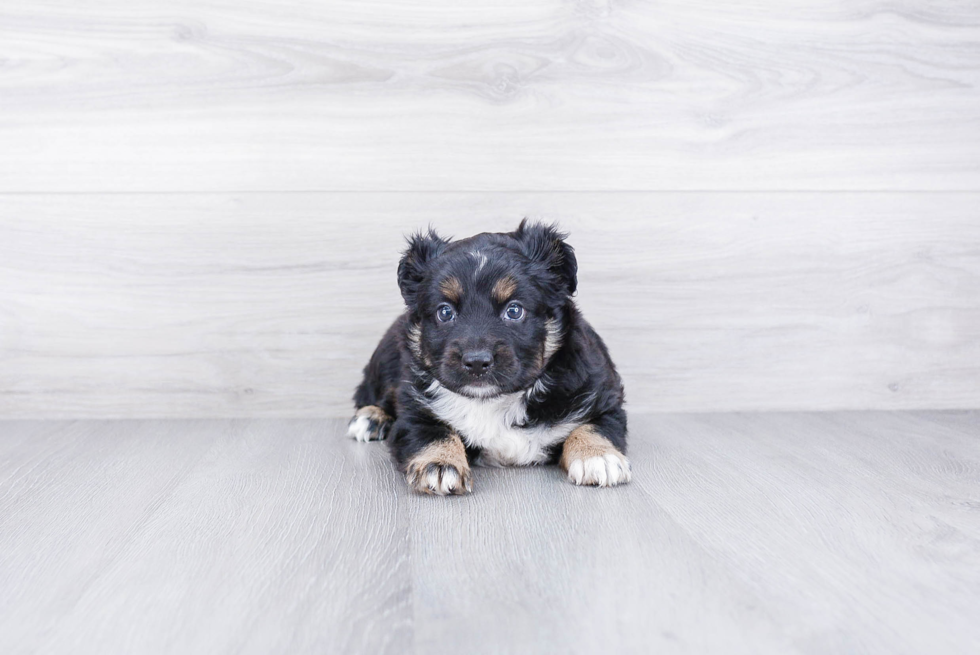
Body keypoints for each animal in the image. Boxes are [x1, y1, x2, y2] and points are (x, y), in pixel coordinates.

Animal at [348, 220, 632, 498]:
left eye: (514, 310)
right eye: (445, 312)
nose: (476, 361)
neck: (494, 401)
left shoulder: (603, 397)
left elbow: (593, 425)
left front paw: (598, 456)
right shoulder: (414, 408)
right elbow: (431, 432)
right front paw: (440, 464)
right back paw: (371, 418)